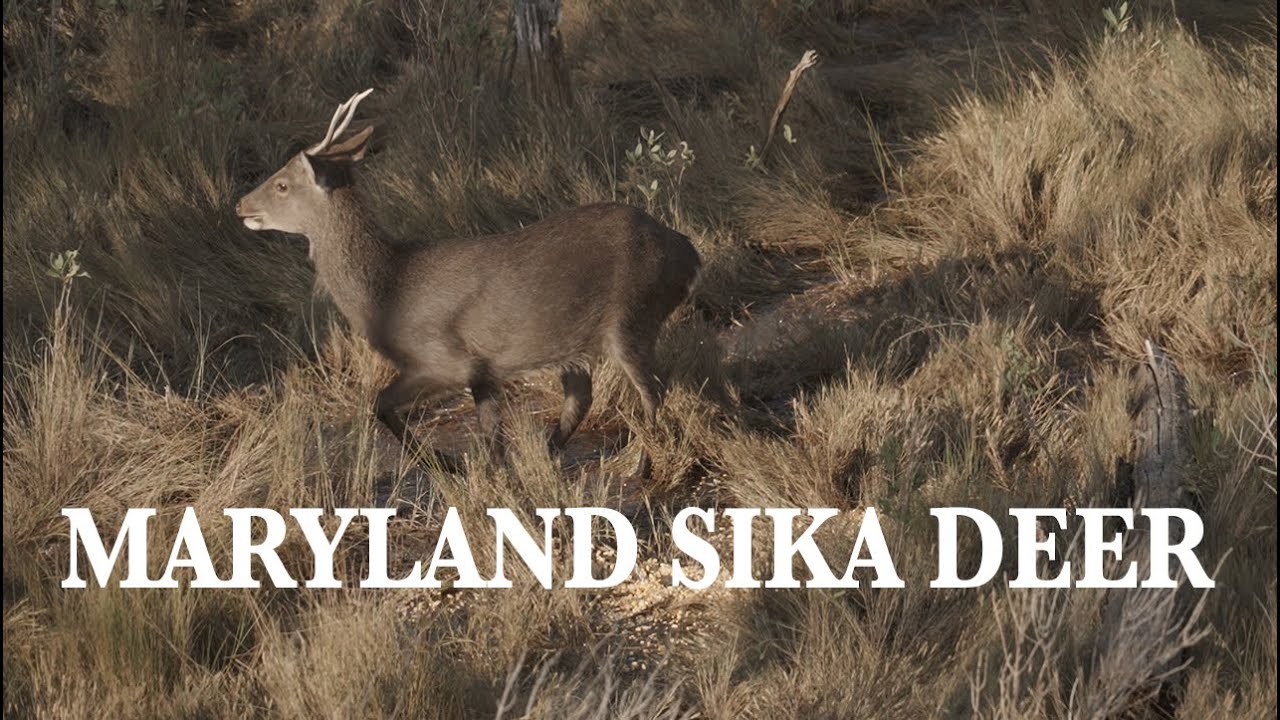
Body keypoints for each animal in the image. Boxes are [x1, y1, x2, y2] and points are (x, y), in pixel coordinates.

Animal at [235, 89, 702, 478]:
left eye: (282, 184)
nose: (240, 204)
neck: (385, 288)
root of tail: (688, 254)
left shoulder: (442, 359)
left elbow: (379, 405)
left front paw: (446, 465)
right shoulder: (483, 370)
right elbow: (491, 430)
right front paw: (495, 473)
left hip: (633, 314)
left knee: (652, 392)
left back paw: (643, 466)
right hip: (578, 341)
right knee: (580, 398)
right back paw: (549, 453)